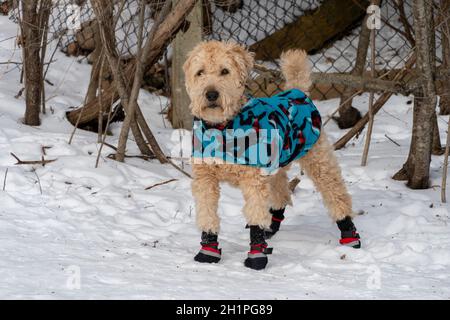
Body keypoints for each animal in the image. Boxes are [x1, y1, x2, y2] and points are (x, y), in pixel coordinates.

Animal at [181, 40, 360, 270]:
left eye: (225, 71)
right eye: (200, 72)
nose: (211, 95)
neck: (223, 128)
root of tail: (297, 92)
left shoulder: (253, 180)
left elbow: (256, 215)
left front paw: (256, 256)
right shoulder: (205, 178)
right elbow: (207, 214)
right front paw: (208, 250)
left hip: (318, 160)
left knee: (336, 194)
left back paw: (349, 233)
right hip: (276, 167)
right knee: (282, 195)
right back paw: (271, 226)